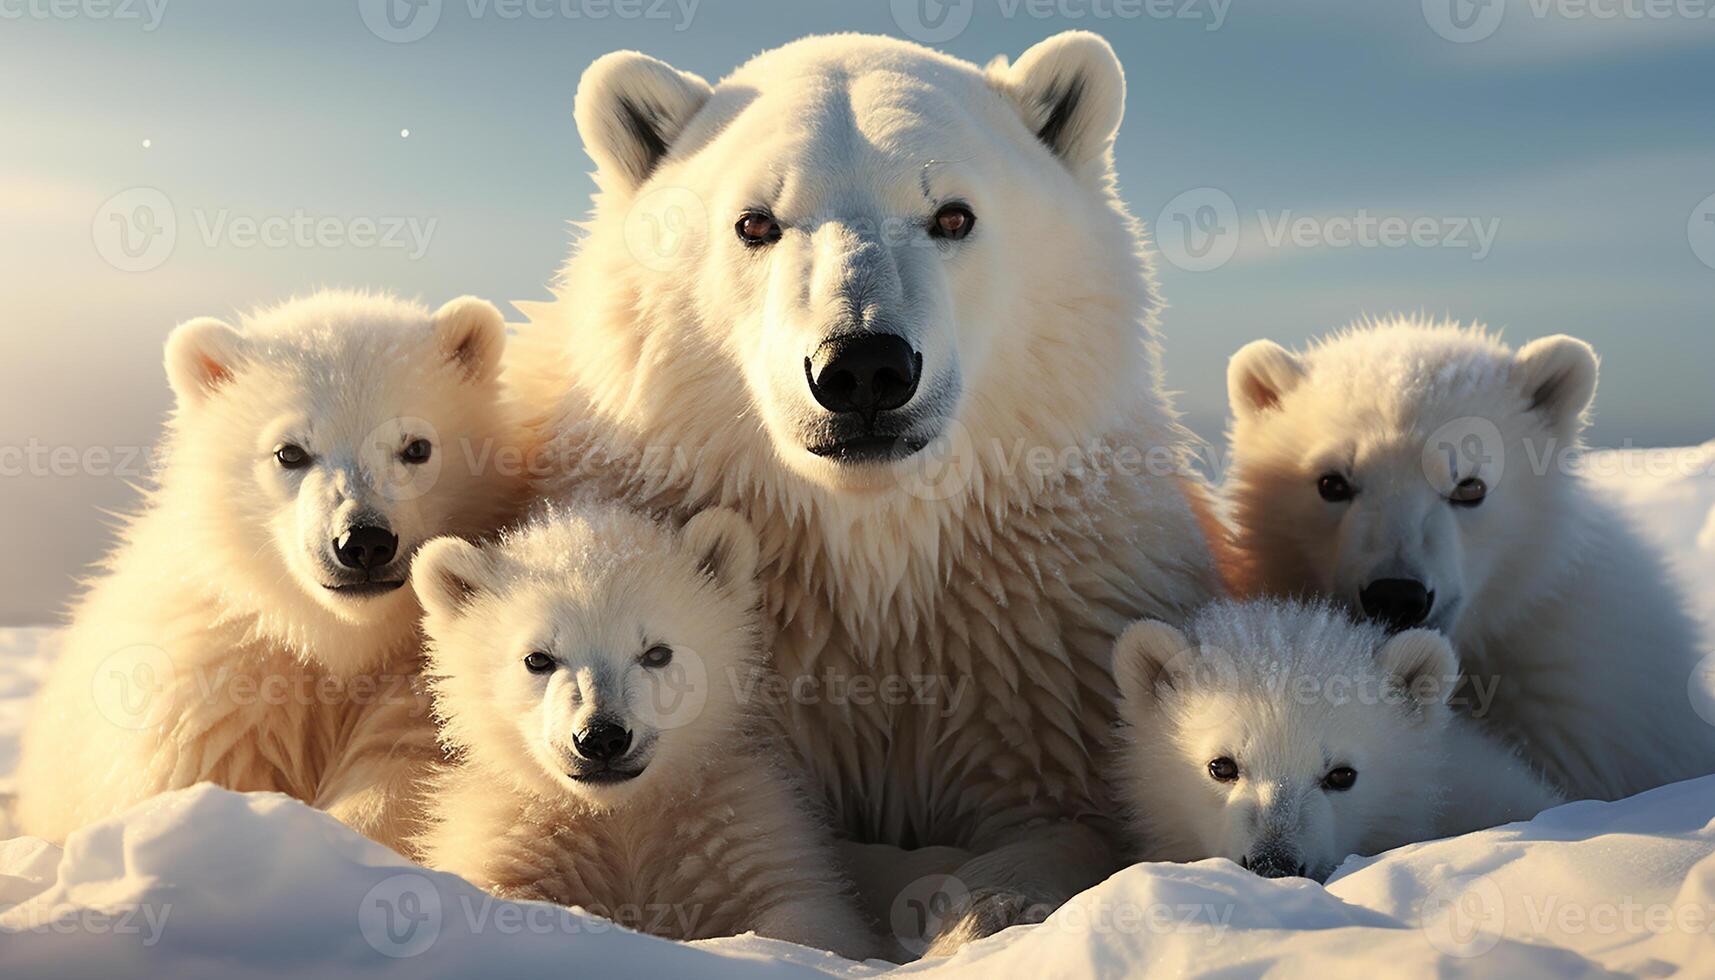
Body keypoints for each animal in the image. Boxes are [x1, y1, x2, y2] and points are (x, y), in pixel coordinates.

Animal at [507, 30, 1221, 954]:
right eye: (755, 222)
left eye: (952, 213)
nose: (862, 368)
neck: (871, 559)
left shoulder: (1038, 648)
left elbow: (1063, 818)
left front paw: (978, 905)